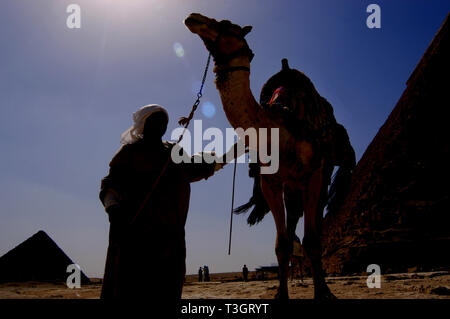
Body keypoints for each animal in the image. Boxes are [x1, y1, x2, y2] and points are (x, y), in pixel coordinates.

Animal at [183, 13, 356, 300]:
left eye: (227, 25)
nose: (193, 17)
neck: (280, 126)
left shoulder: (314, 173)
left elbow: (312, 239)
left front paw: (322, 293)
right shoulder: (270, 182)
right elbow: (281, 243)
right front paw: (281, 295)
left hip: (323, 174)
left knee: (315, 222)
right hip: (292, 186)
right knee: (294, 219)